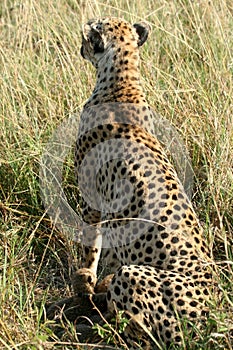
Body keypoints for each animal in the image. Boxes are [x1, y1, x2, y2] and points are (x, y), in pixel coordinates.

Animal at [74, 17, 215, 350]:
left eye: (89, 34)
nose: (80, 45)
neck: (123, 81)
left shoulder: (92, 200)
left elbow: (91, 245)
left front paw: (87, 277)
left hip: (135, 277)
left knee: (137, 334)